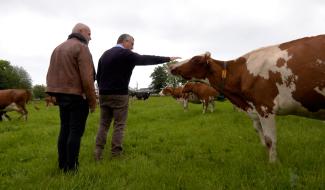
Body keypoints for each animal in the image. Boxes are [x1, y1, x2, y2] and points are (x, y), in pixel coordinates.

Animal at [170, 34, 324, 162]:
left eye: (195, 59)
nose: (172, 65)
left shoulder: (264, 107)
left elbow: (270, 140)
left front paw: (274, 164)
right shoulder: (254, 109)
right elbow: (261, 135)